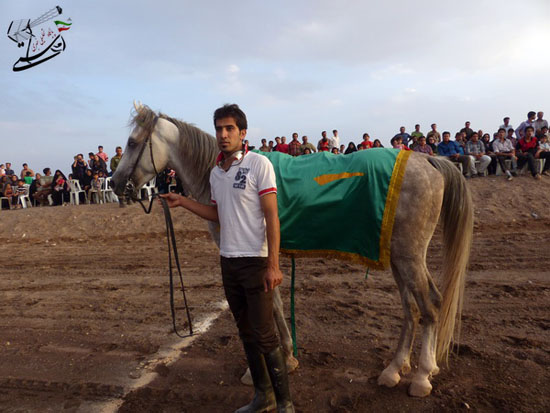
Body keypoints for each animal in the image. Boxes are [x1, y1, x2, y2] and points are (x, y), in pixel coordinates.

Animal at [111, 102, 474, 396]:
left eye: (132, 143)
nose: (115, 183)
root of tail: (428, 160)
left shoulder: (254, 255)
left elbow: (267, 305)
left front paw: (269, 364)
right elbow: (273, 303)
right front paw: (288, 356)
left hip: (409, 257)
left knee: (430, 305)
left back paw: (422, 376)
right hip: (397, 256)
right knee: (411, 309)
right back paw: (395, 369)